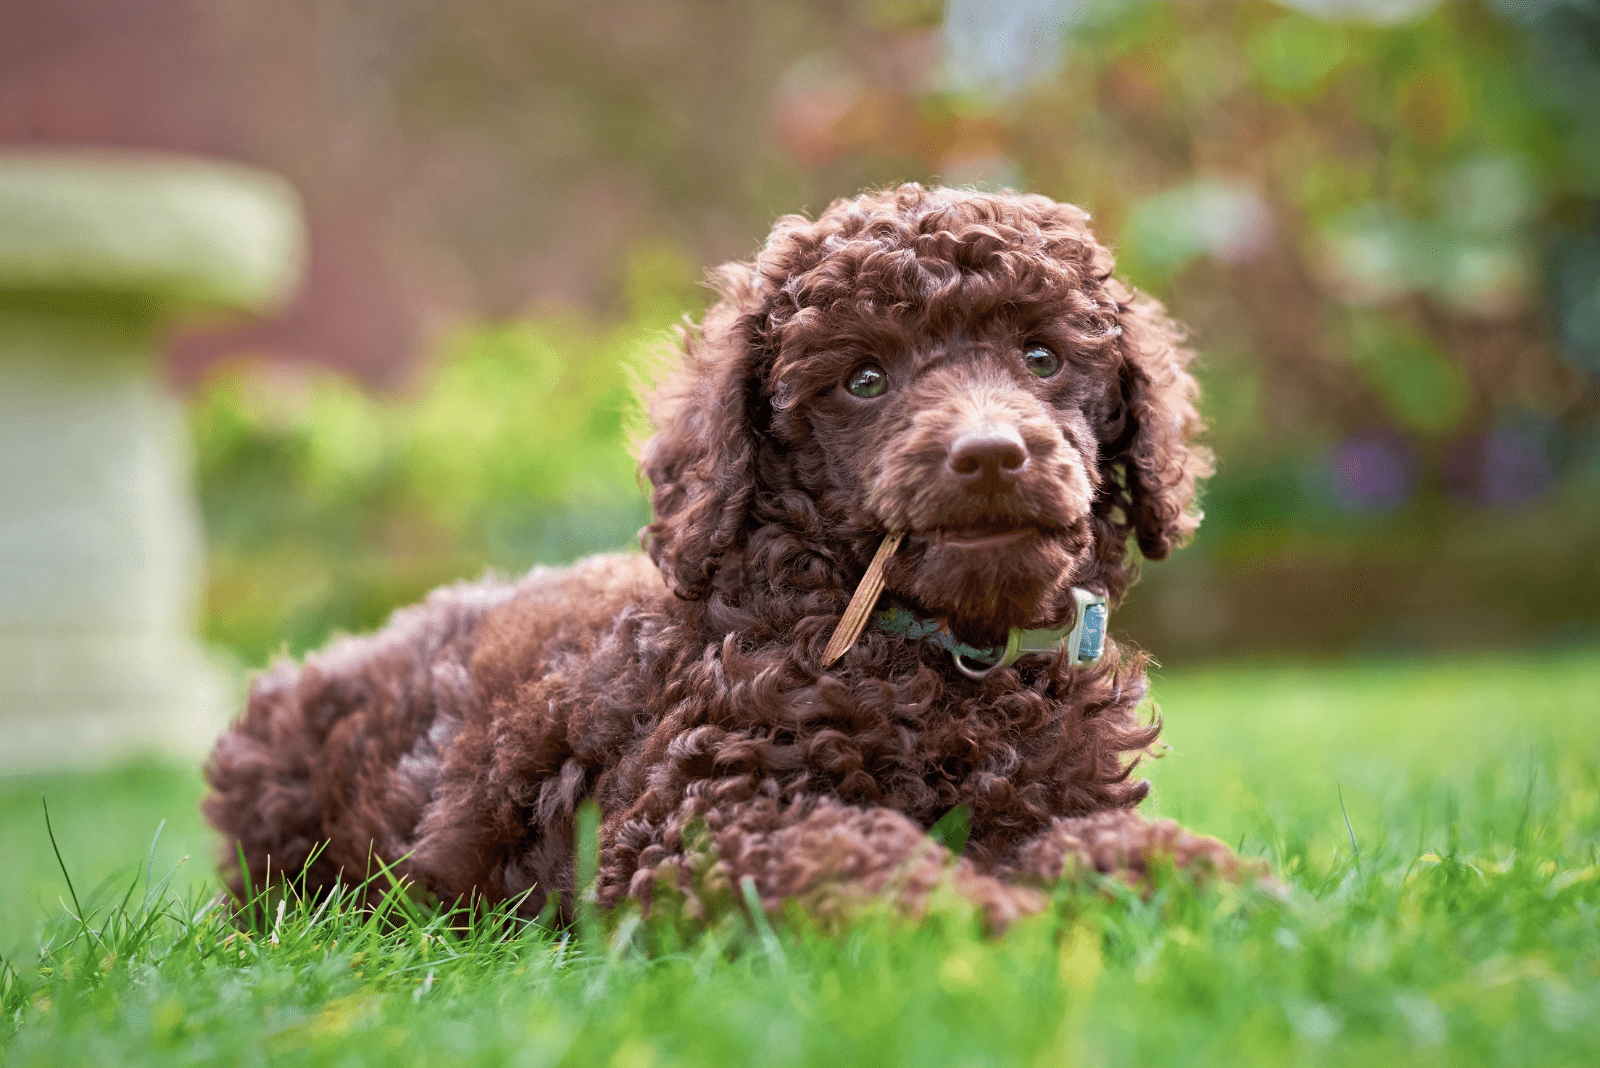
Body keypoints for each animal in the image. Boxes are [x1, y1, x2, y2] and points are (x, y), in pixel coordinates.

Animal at [203, 187, 1235, 927]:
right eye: (864, 380)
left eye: (1042, 357)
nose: (989, 454)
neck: (949, 661)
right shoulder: (695, 824)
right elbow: (855, 855)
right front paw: (988, 922)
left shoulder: (1055, 798)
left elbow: (1107, 842)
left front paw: (1215, 885)